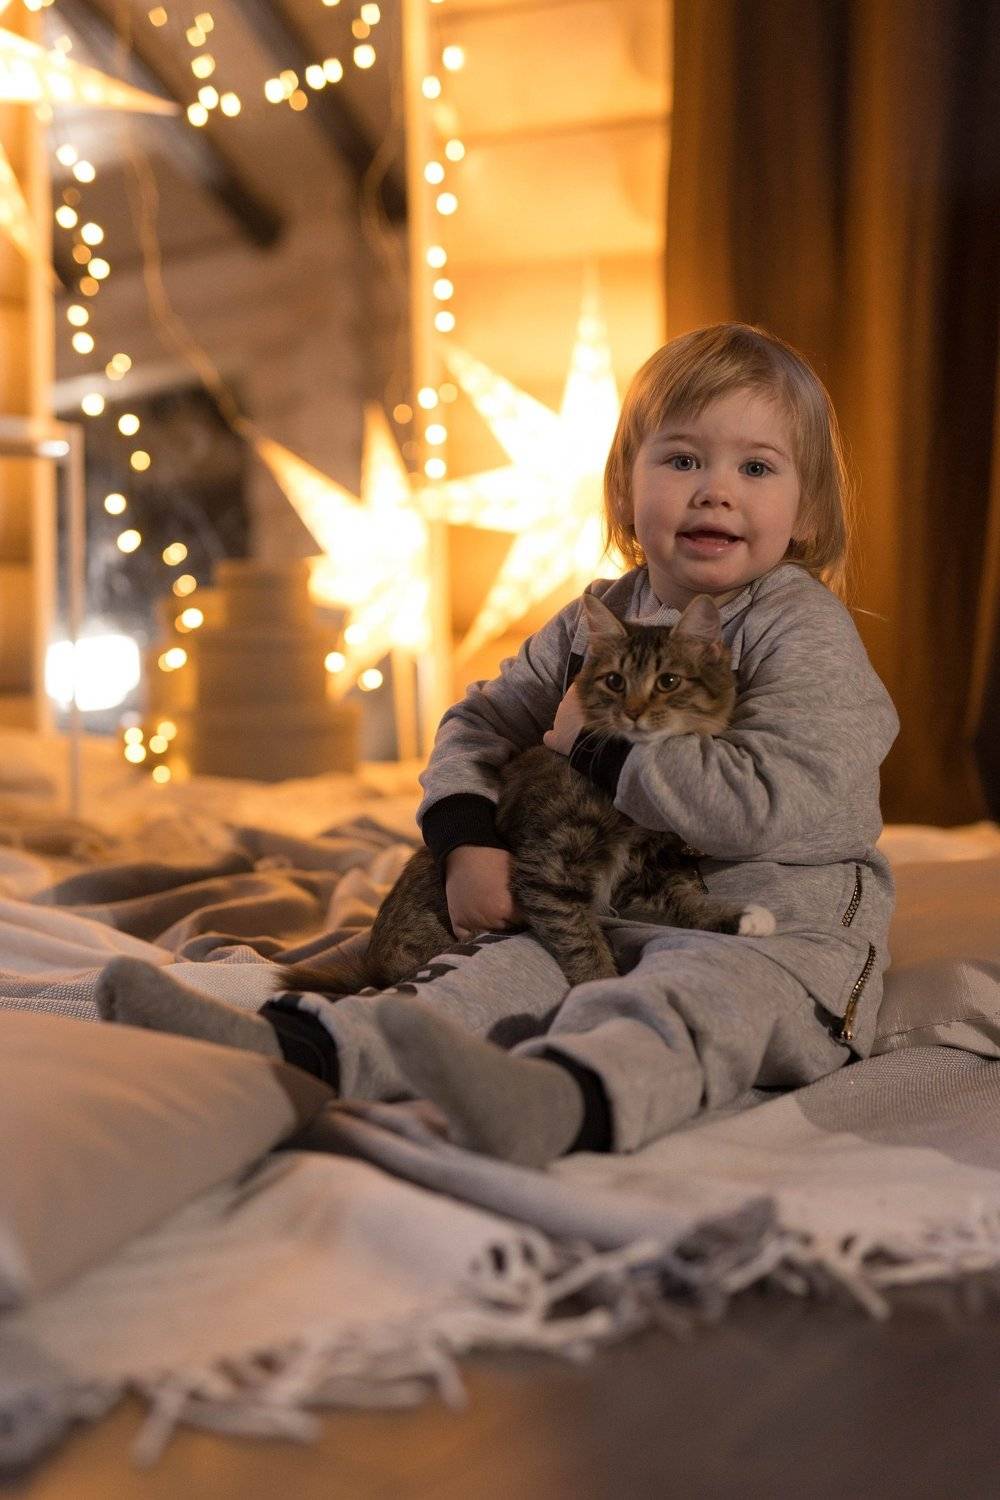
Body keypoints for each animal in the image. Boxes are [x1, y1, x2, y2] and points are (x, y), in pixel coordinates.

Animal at [280, 592, 775, 996]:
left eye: (668, 682)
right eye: (615, 681)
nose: (633, 712)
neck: (623, 805)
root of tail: (373, 967)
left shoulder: (648, 867)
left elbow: (688, 902)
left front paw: (736, 916)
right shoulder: (549, 868)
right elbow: (581, 939)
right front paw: (600, 984)